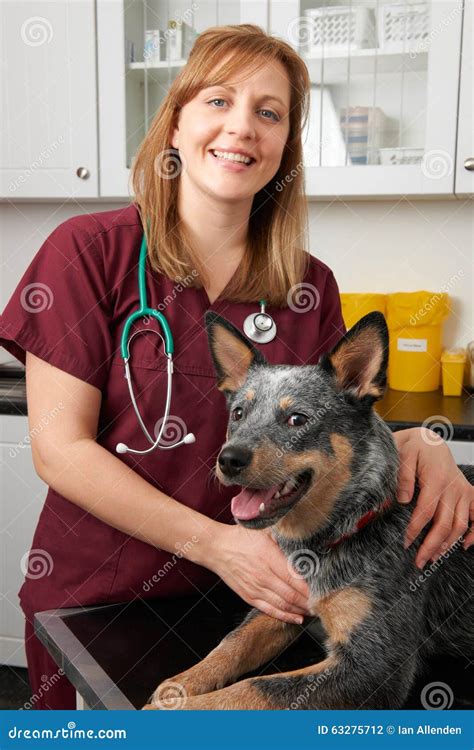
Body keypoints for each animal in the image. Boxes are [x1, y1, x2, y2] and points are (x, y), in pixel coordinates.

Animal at [144, 310, 474, 712]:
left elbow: (257, 687)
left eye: (297, 420)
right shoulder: (279, 604)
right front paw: (179, 685)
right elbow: (231, 643)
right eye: (238, 413)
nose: (228, 459)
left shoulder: (377, 664)